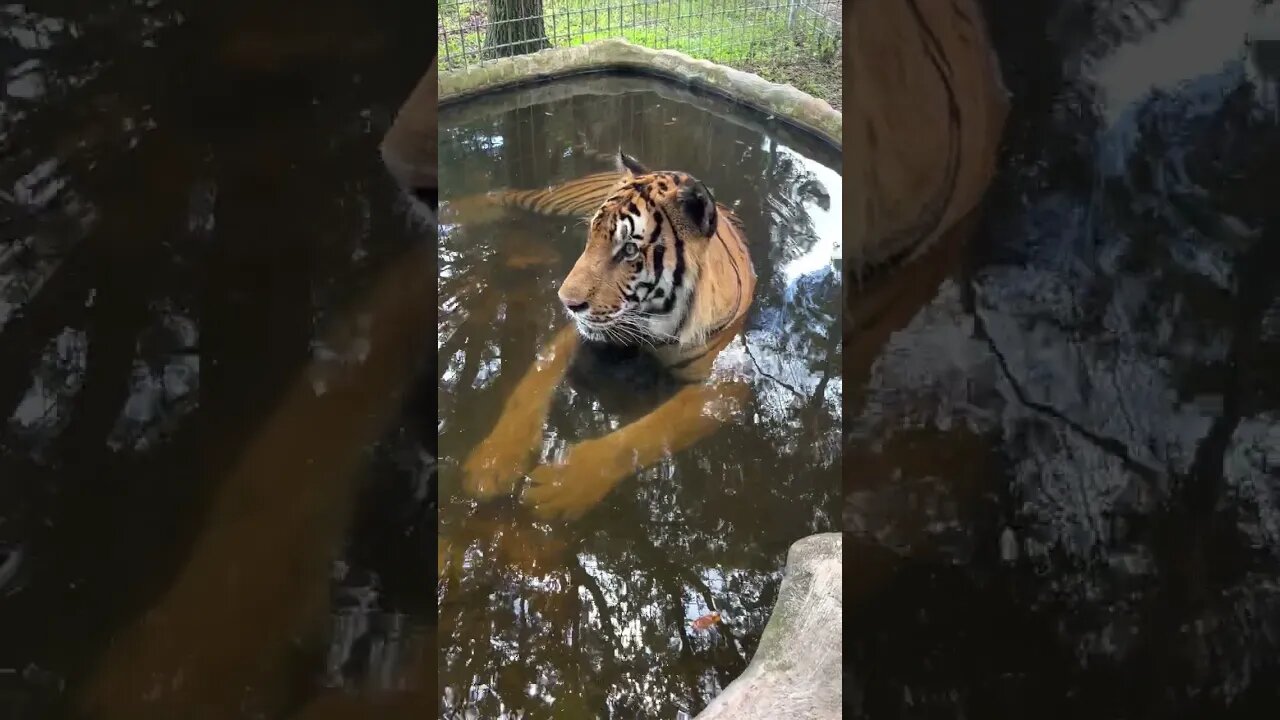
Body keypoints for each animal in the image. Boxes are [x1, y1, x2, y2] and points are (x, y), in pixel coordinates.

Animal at [453, 149, 752, 515]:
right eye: (591, 237)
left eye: (629, 251)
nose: (566, 302)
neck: (654, 319)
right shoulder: (581, 332)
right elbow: (534, 380)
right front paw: (495, 459)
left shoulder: (725, 385)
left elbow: (651, 430)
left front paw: (564, 482)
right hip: (553, 200)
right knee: (506, 194)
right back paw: (456, 210)